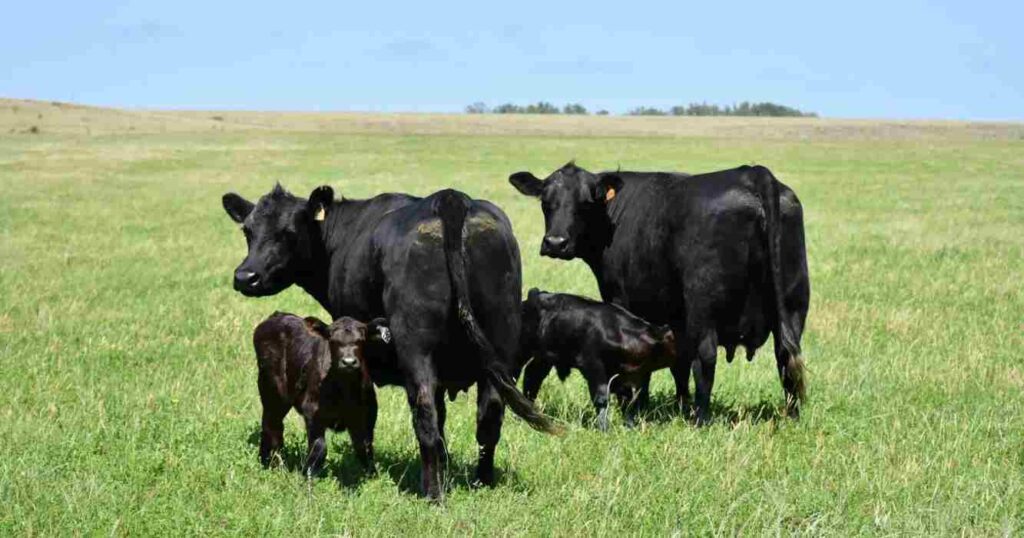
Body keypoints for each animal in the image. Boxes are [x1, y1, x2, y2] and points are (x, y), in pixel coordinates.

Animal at [250, 311, 387, 475]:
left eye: (361, 340)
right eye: (332, 341)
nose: (348, 362)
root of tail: (277, 315)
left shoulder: (368, 414)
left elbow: (365, 447)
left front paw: (373, 475)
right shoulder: (312, 412)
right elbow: (319, 448)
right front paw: (307, 474)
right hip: (272, 390)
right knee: (271, 426)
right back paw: (272, 464)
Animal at [520, 286, 679, 430]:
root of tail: (537, 294)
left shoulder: (623, 375)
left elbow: (626, 400)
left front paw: (630, 427)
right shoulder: (594, 366)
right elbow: (602, 399)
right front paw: (604, 429)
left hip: (544, 358)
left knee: (532, 377)